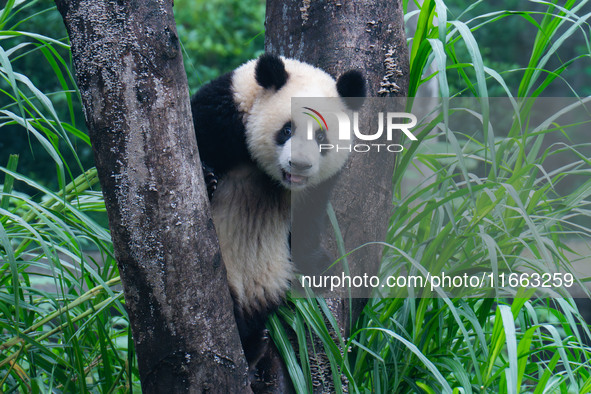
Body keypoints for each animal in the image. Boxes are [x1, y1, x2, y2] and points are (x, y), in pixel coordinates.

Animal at [190, 53, 366, 374]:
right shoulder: (221, 114)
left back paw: (254, 342)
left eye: (321, 136)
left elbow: (308, 217)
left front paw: (318, 266)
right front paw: (208, 178)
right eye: (287, 130)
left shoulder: (318, 185)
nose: (300, 165)